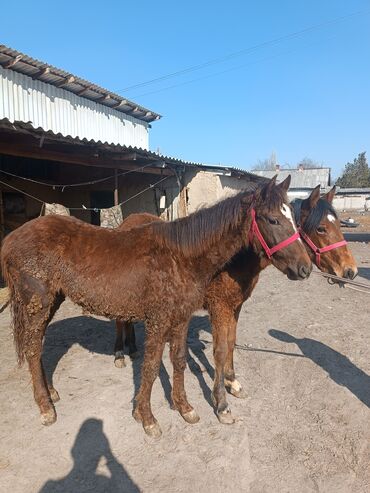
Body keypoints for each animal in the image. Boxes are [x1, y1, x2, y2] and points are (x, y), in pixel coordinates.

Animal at [2, 176, 312, 434]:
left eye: (293, 216)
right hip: (37, 304)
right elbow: (151, 367)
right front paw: (147, 418)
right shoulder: (160, 319)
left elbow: (179, 360)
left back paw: (52, 392)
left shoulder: (182, 317)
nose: (305, 268)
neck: (181, 256)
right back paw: (46, 407)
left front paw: (184, 407)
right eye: (272, 219)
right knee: (32, 349)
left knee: (39, 348)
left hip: (51, 301)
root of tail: (10, 239)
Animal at [112, 183, 356, 420]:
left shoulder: (235, 306)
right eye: (321, 228)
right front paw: (221, 404)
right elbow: (220, 350)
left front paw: (232, 383)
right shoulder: (219, 307)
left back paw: (132, 348)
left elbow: (231, 342)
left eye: (338, 225)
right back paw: (119, 354)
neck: (231, 260)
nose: (350, 271)